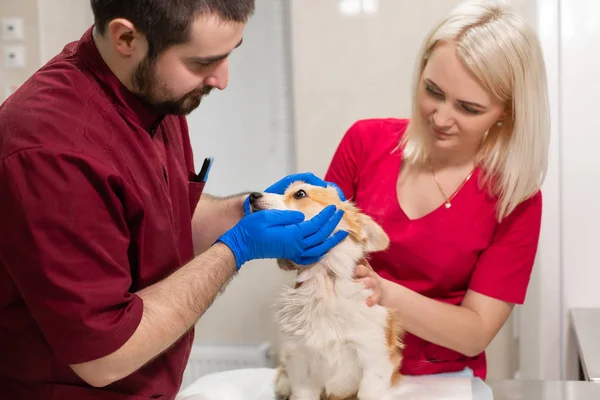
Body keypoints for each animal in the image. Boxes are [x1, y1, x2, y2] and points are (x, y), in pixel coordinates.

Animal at [248, 182, 404, 400]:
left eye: (300, 194)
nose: (252, 196)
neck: (324, 282)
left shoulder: (373, 357)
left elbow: (368, 392)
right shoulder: (300, 361)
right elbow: (302, 393)